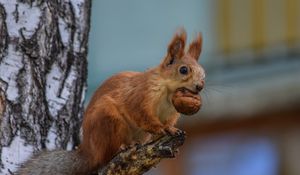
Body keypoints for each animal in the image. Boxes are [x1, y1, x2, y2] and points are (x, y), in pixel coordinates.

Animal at [15, 28, 204, 175]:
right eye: (183, 70)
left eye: (203, 74)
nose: (200, 86)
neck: (168, 92)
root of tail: (88, 151)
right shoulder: (140, 96)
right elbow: (142, 115)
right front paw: (161, 128)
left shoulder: (171, 112)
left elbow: (168, 122)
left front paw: (171, 129)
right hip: (108, 119)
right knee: (106, 155)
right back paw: (121, 148)